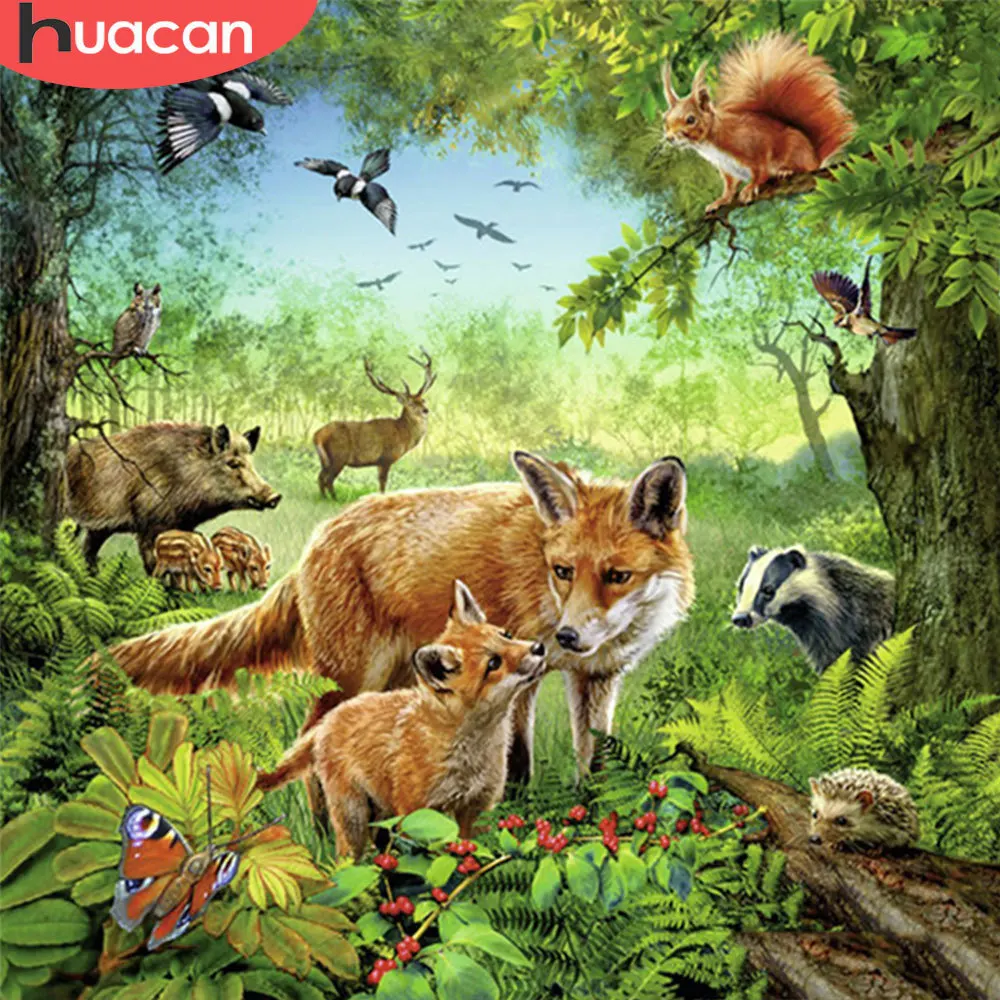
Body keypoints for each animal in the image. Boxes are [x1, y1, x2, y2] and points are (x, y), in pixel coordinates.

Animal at [103, 451, 693, 779]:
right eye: (565, 570)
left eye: (617, 576)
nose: (567, 638)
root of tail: (317, 539)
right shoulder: (522, 673)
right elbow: (519, 761)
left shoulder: (596, 677)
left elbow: (593, 764)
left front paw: (585, 818)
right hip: (352, 678)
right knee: (313, 747)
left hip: (396, 680)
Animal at [257, 580, 547, 858]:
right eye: (494, 664)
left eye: (506, 635)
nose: (539, 647)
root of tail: (329, 719)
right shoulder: (416, 812)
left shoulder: (478, 807)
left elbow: (472, 854)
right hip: (354, 817)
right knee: (347, 859)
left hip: (381, 814)